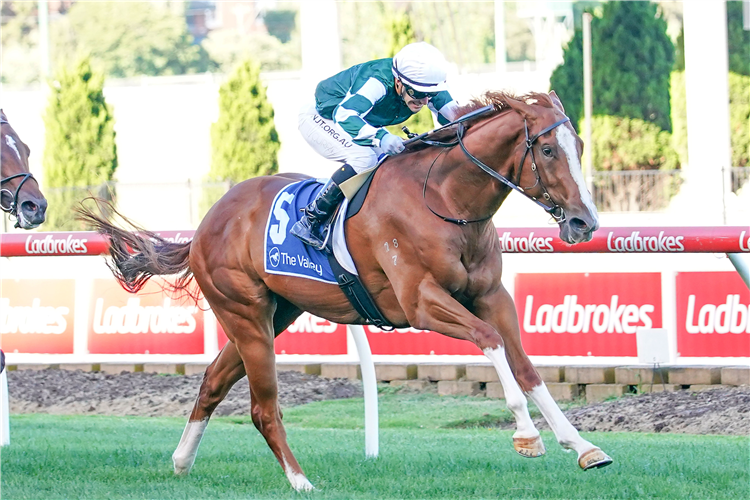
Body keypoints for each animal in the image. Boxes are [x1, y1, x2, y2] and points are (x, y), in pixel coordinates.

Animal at [79, 91, 612, 492]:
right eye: (548, 151)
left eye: (581, 145)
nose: (584, 223)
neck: (446, 199)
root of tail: (209, 221)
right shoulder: (420, 302)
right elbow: (491, 341)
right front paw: (525, 434)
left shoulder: (492, 296)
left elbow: (525, 366)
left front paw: (583, 446)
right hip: (245, 313)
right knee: (262, 407)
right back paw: (300, 481)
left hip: (275, 313)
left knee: (212, 380)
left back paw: (182, 461)